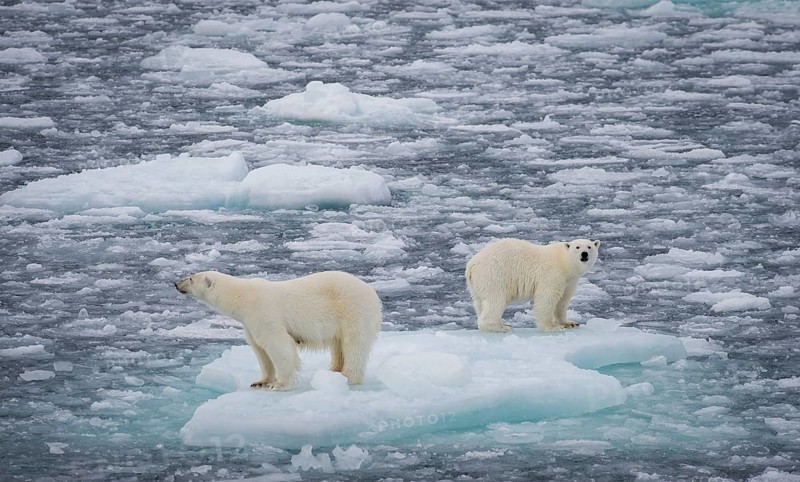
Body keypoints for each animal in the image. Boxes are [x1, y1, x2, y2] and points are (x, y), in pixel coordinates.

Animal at [175, 270, 382, 390]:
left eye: (191, 278)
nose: (176, 283)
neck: (243, 298)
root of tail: (372, 292)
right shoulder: (250, 324)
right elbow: (260, 351)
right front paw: (260, 382)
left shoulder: (264, 313)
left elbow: (278, 346)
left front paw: (280, 384)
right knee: (338, 346)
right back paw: (333, 371)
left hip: (353, 311)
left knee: (354, 345)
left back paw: (348, 377)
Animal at [465, 238, 600, 333]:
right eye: (577, 247)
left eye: (589, 246)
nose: (584, 254)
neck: (564, 263)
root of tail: (471, 264)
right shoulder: (552, 274)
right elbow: (547, 298)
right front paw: (552, 327)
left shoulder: (569, 281)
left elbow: (562, 301)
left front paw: (570, 323)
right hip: (494, 275)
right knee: (495, 301)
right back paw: (501, 326)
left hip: (477, 284)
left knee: (480, 303)